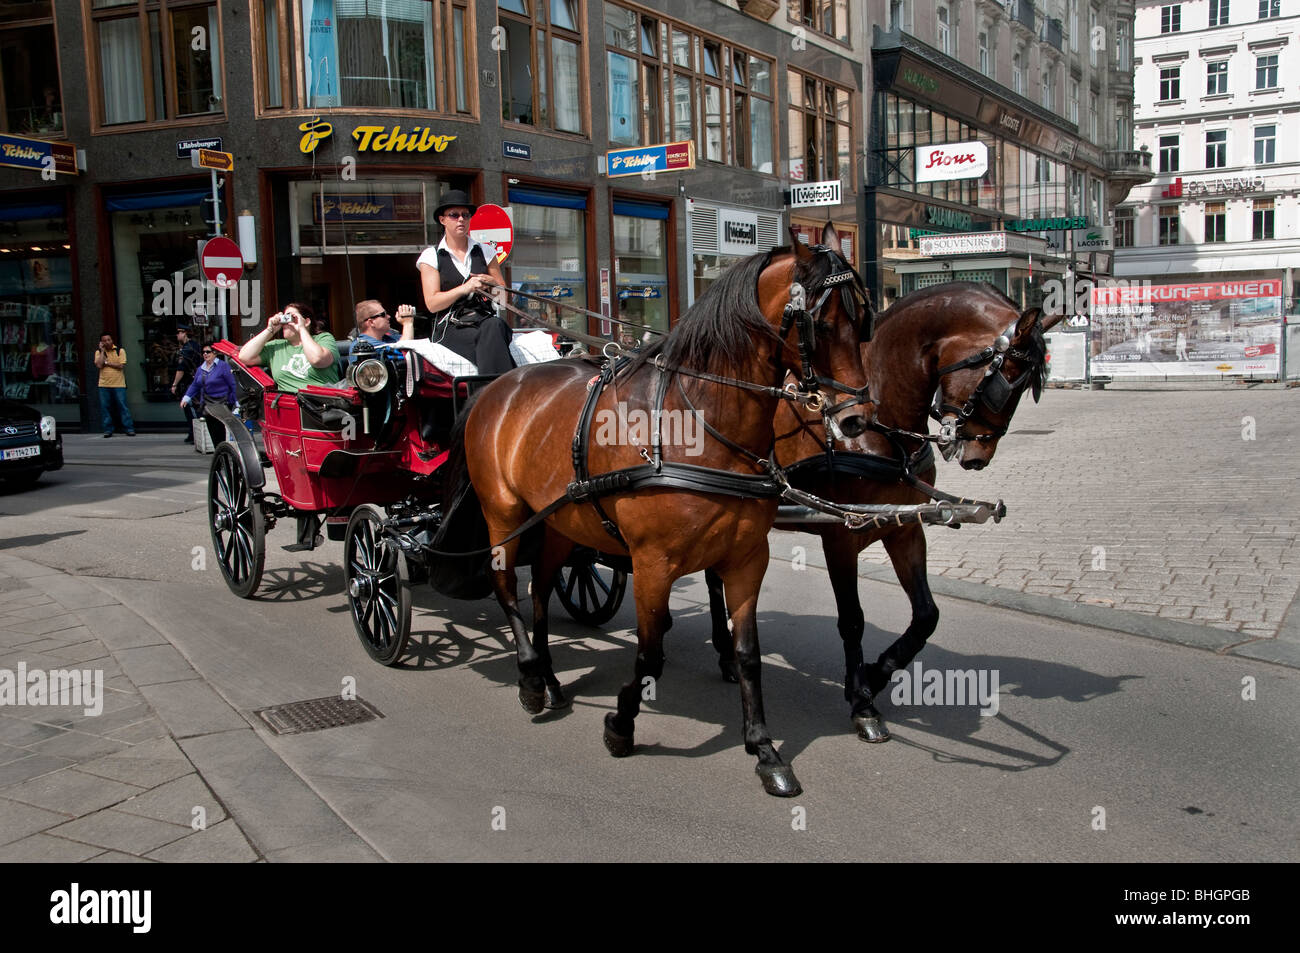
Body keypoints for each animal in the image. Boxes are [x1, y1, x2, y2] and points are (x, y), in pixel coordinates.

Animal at [444, 223, 873, 795]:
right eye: (821, 325)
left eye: (864, 319)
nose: (855, 420)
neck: (698, 421)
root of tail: (496, 386)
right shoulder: (652, 564)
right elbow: (650, 653)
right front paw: (621, 724)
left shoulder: (745, 559)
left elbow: (749, 654)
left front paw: (764, 749)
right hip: (504, 514)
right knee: (507, 586)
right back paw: (531, 678)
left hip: (559, 521)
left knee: (540, 590)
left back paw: (551, 678)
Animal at [712, 282, 1066, 743]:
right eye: (1008, 380)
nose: (979, 457)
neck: (876, 426)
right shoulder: (840, 535)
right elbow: (852, 620)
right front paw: (862, 703)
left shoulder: (905, 529)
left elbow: (926, 615)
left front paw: (874, 674)